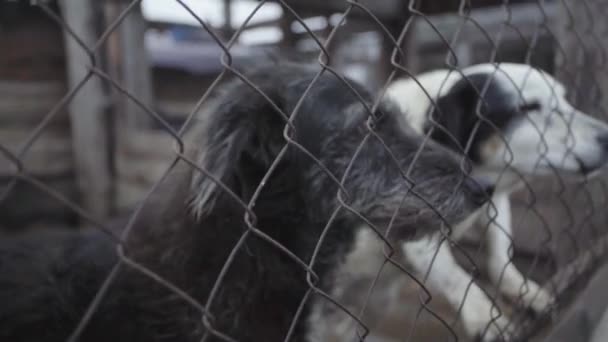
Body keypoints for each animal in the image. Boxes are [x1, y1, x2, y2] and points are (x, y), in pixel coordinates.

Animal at [378, 63, 608, 340]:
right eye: (528, 107)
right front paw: (486, 319)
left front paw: (524, 290)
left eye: (565, 99)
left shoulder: (496, 199)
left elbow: (500, 250)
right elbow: (455, 276)